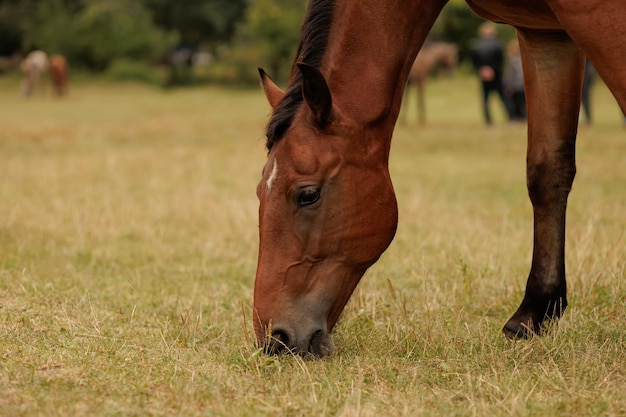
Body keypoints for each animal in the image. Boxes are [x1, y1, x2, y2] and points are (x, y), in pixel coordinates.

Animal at [252, 0, 624, 358]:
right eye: (259, 192)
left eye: (308, 194)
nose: (274, 339)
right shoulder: (543, 35)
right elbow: (547, 172)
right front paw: (534, 313)